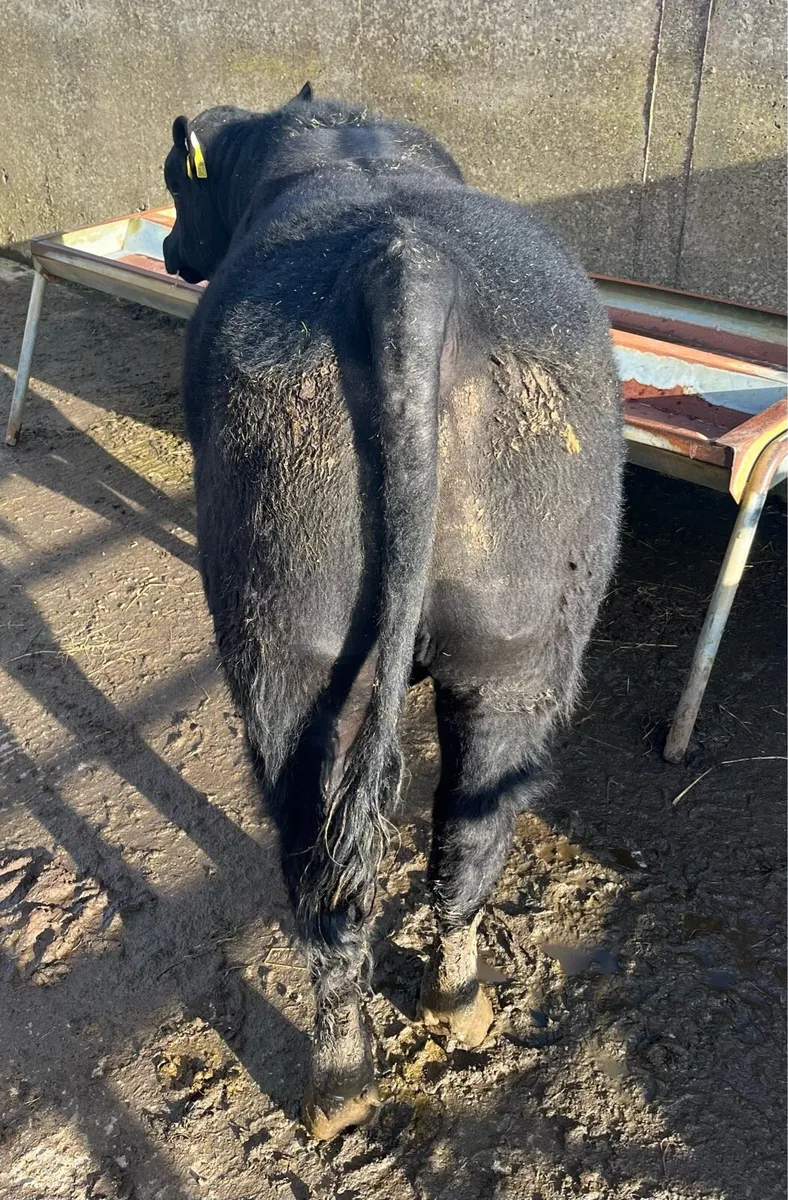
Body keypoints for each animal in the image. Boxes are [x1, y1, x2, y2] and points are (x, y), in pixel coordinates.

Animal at [162, 83, 623, 1140]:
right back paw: (448, 1017)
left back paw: (341, 1087)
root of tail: (405, 262)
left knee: (329, 876)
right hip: (515, 649)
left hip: (288, 658)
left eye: (176, 185)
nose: (168, 249)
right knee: (461, 838)